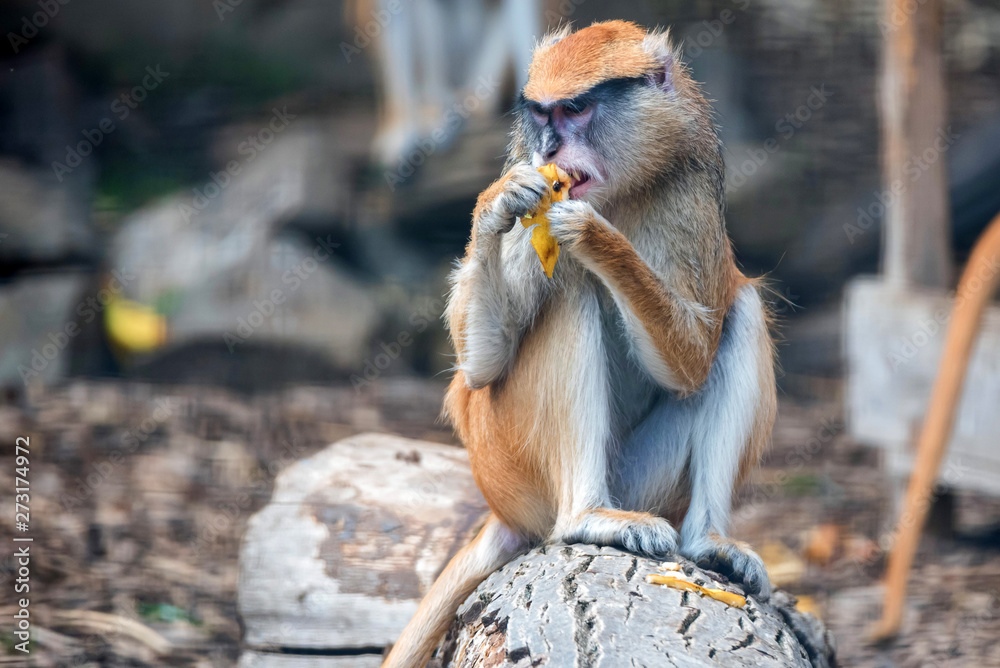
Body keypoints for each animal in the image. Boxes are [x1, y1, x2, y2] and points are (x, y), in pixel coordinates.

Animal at [382, 20, 777, 667]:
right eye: (541, 115)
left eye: (575, 110)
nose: (547, 152)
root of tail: (499, 507)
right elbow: (483, 366)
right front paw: (495, 204)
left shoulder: (689, 185)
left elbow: (692, 364)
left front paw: (596, 238)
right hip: (510, 461)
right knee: (570, 296)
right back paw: (587, 517)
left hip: (640, 480)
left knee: (741, 314)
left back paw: (708, 540)